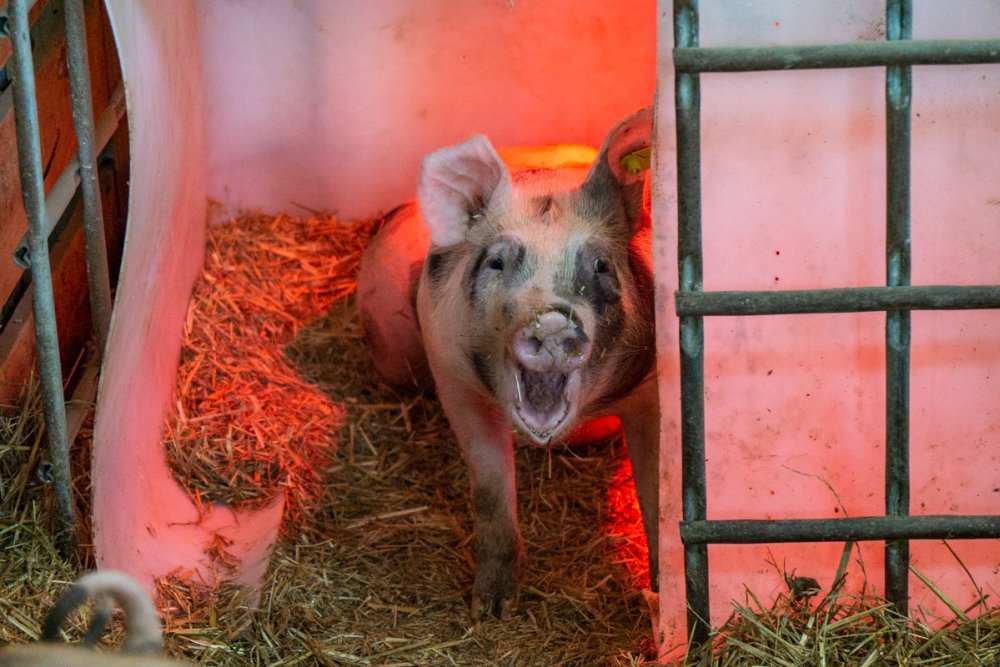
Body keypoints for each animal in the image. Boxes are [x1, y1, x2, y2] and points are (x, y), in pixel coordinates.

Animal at [357, 108, 658, 619]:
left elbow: (660, 499)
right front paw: (491, 610)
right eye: (498, 261)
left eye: (600, 265)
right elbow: (490, 491)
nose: (551, 319)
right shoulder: (453, 378)